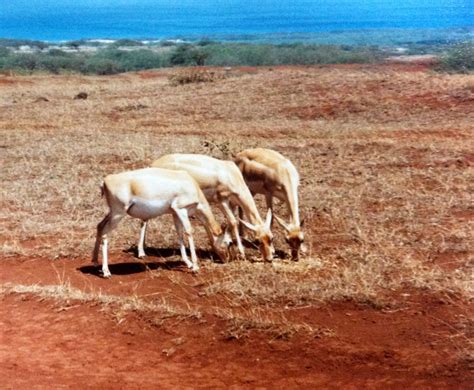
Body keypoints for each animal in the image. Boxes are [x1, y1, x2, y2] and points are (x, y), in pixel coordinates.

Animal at [91, 168, 231, 278]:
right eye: (229, 242)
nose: (227, 259)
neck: (190, 184)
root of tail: (105, 181)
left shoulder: (175, 213)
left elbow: (179, 234)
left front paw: (189, 263)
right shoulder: (182, 210)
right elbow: (189, 232)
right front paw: (195, 267)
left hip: (112, 213)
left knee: (99, 226)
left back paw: (95, 261)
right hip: (118, 214)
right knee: (105, 234)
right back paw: (106, 272)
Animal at [141, 153, 276, 262]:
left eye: (271, 238)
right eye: (258, 240)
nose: (269, 258)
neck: (230, 174)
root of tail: (153, 164)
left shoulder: (231, 202)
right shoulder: (221, 201)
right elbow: (233, 222)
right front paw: (241, 254)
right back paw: (142, 252)